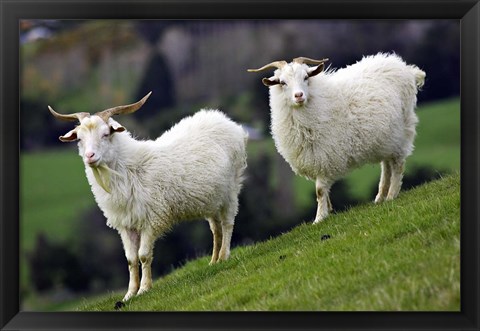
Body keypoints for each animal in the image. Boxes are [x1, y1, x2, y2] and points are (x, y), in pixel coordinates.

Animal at [49, 92, 248, 302]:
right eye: (79, 138)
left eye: (106, 134)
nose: (90, 156)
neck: (130, 169)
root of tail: (223, 119)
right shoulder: (125, 224)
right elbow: (131, 259)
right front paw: (129, 294)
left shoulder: (152, 218)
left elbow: (143, 255)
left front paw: (144, 288)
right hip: (211, 198)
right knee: (216, 229)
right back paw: (214, 261)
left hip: (231, 188)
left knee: (227, 224)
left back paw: (224, 256)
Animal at [249, 53, 426, 223]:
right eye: (282, 82)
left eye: (306, 77)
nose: (299, 96)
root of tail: (405, 68)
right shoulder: (316, 158)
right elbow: (322, 191)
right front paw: (328, 210)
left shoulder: (324, 155)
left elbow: (319, 190)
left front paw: (319, 218)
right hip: (386, 138)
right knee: (387, 165)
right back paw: (380, 197)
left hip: (402, 130)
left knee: (397, 165)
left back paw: (391, 195)